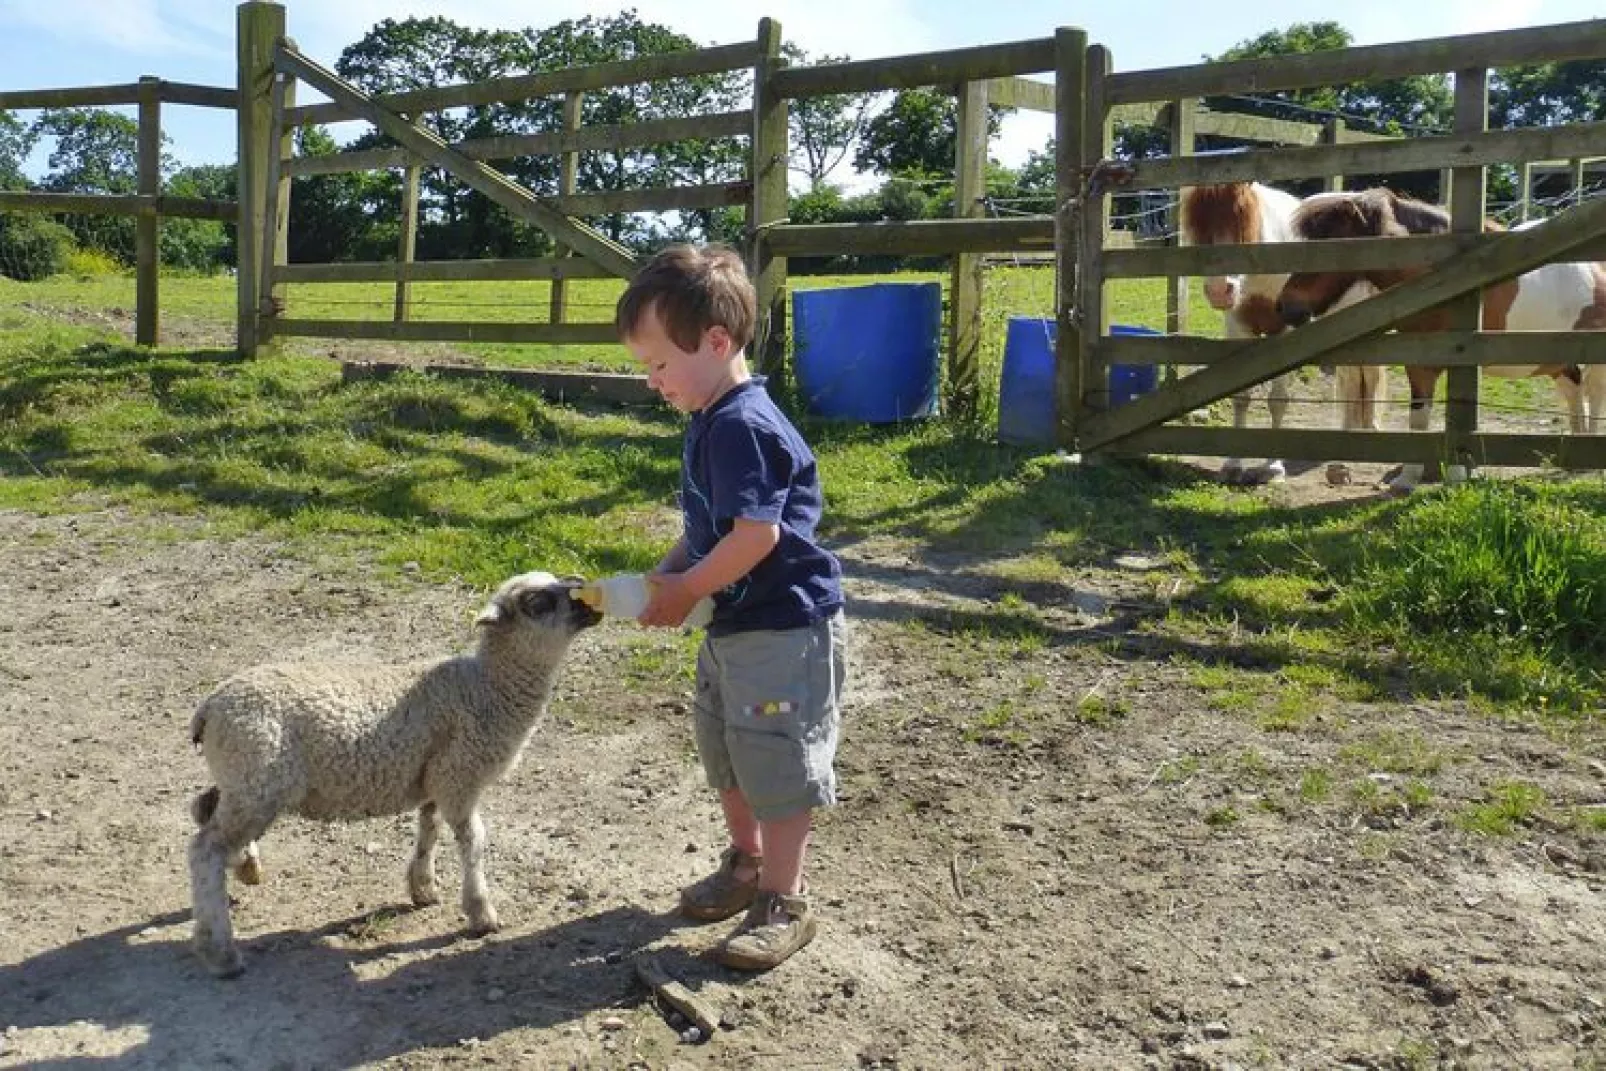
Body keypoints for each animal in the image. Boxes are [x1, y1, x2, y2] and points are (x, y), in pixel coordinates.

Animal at [187, 568, 600, 982]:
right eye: (537, 603)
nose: (587, 592)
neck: (488, 687)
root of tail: (210, 707)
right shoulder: (459, 777)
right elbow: (473, 842)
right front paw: (480, 912)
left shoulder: (433, 777)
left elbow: (429, 829)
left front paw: (423, 887)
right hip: (258, 780)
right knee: (204, 849)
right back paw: (221, 952)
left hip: (244, 778)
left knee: (203, 808)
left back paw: (245, 870)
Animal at [1175, 184, 1387, 484]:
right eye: (1200, 223)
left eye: (1243, 218)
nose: (1219, 290)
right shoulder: (1239, 328)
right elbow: (1241, 397)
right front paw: (1233, 466)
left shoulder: (1283, 331)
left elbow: (1277, 402)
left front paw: (1273, 468)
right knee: (1354, 378)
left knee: (1362, 376)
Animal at [1271, 189, 1599, 494]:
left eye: (1332, 245)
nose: (1285, 307)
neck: (1441, 283)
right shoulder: (1419, 365)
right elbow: (1418, 421)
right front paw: (1407, 480)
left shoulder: (1461, 361)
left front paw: (1455, 477)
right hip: (1560, 362)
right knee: (1576, 395)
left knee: (1595, 398)